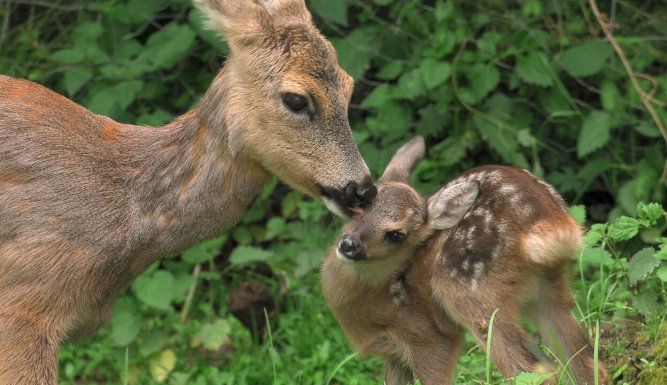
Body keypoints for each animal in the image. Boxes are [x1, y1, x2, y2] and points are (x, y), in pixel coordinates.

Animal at [320, 136, 608, 382]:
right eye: (359, 209)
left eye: (396, 234)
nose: (349, 245)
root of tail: (547, 219)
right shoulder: (395, 356)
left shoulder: (428, 338)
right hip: (548, 289)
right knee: (586, 363)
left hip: (470, 294)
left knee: (536, 372)